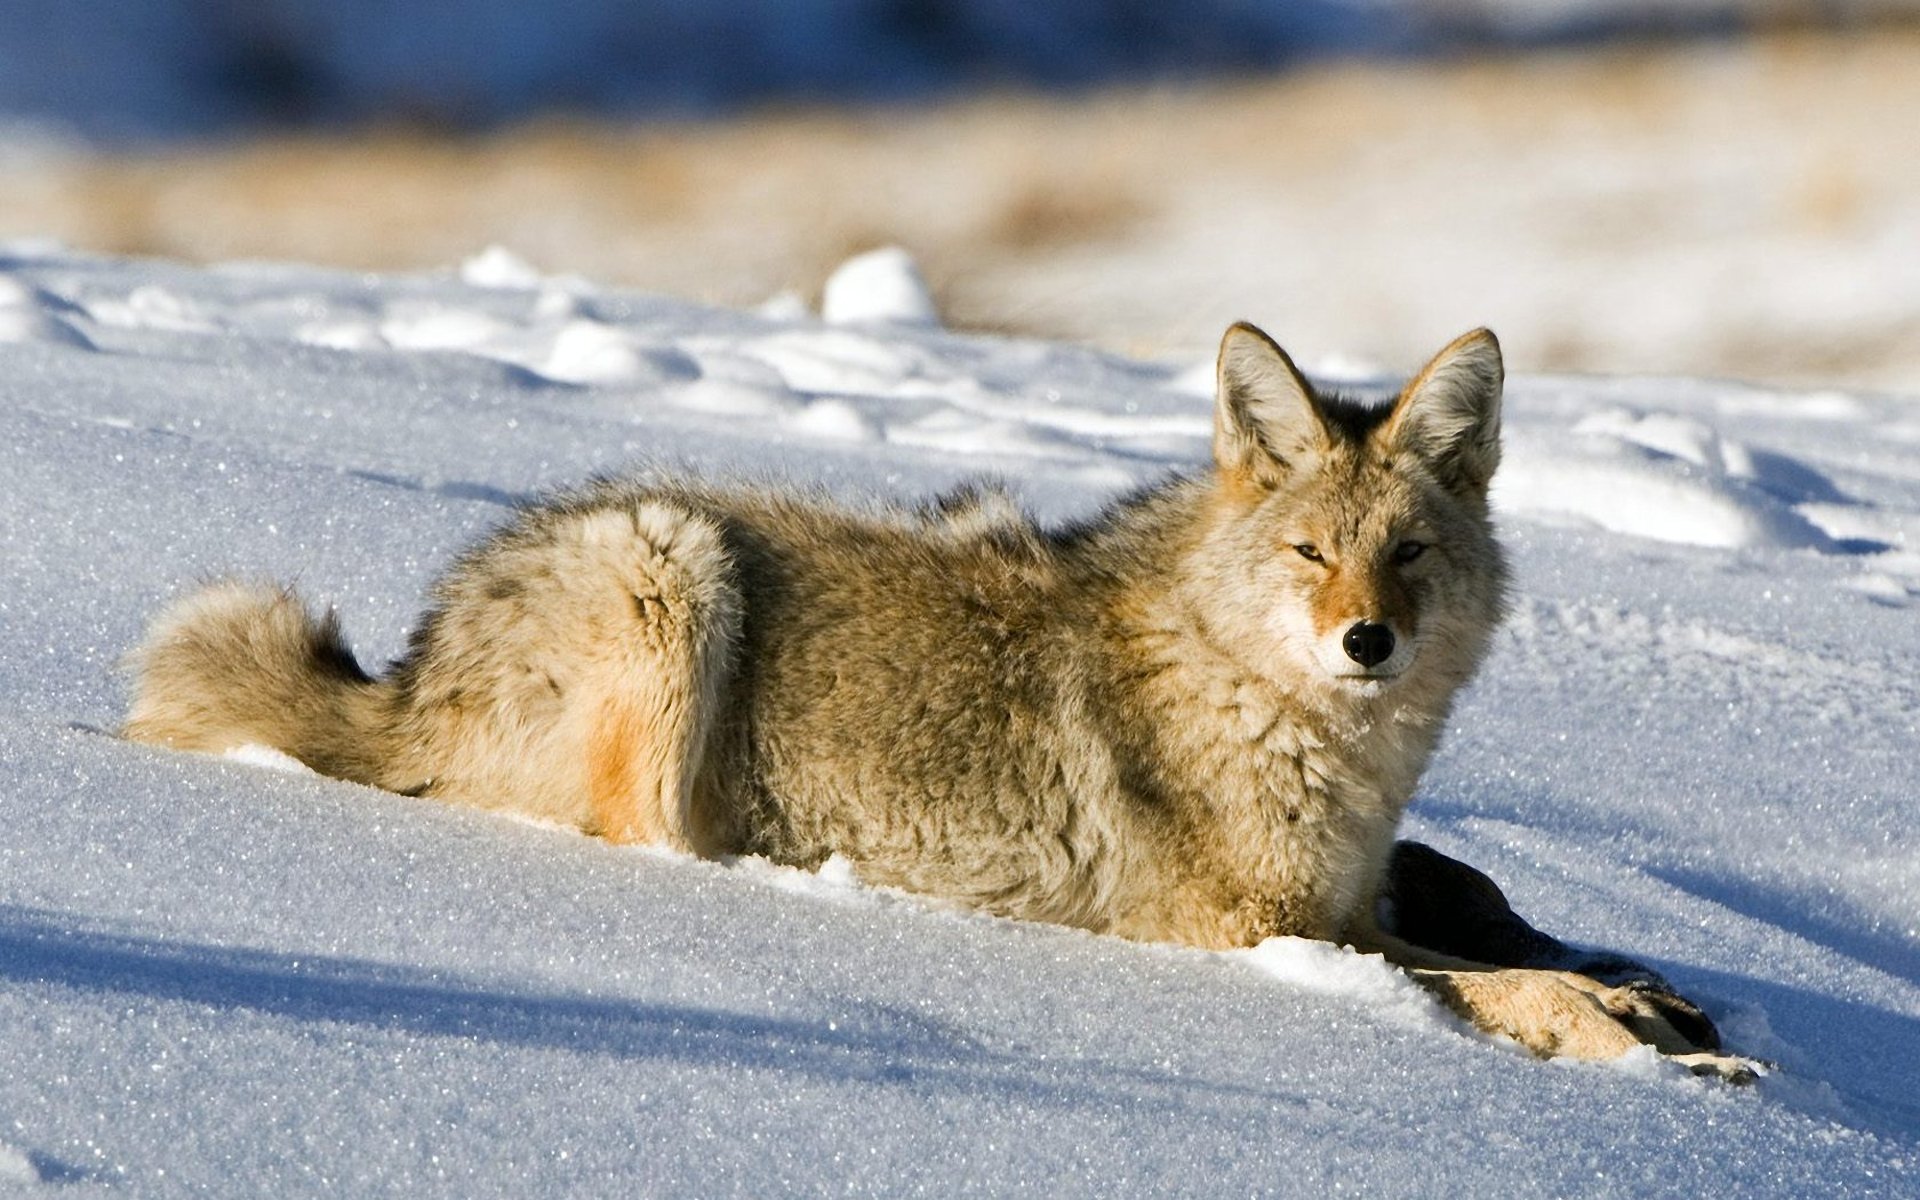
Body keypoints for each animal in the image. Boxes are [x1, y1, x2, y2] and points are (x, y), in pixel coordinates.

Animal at [124, 323, 1755, 1079]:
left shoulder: (1352, 899)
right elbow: (1493, 989)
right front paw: (1647, 1046)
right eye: (1312, 553)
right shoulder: (1254, 935)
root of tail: (418, 658)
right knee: (644, 840)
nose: (1368, 643)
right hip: (673, 563)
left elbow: (1503, 935)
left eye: (1408, 554)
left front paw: (1654, 999)